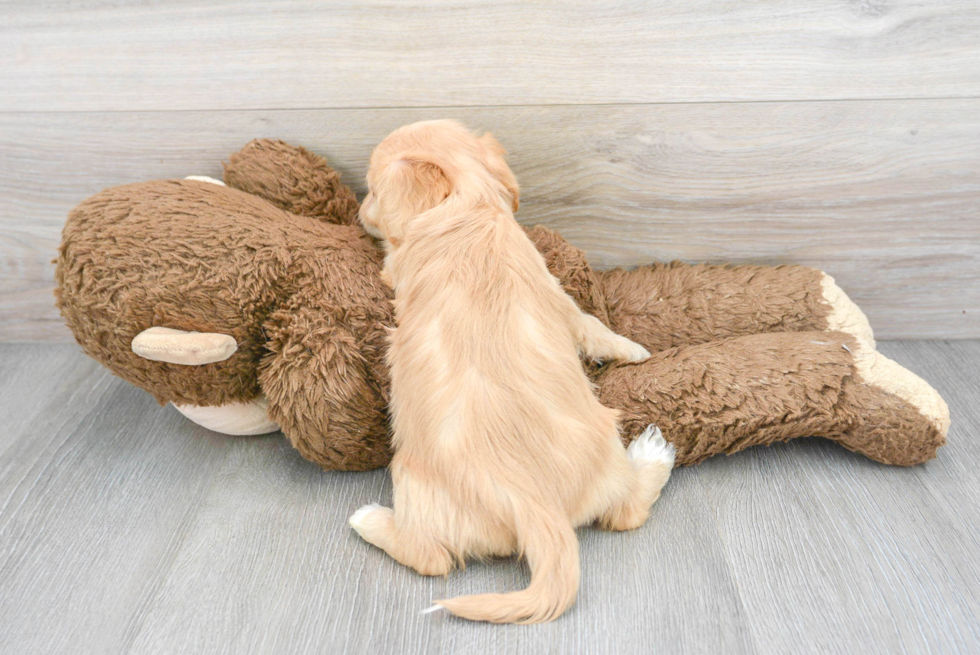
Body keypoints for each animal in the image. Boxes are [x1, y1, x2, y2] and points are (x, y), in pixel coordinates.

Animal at [348, 119, 676, 624]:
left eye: (375, 190)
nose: (357, 209)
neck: (470, 208)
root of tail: (538, 506)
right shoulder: (558, 296)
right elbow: (590, 323)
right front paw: (635, 349)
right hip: (608, 457)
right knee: (628, 511)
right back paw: (654, 454)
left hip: (410, 479)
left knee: (431, 557)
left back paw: (368, 519)